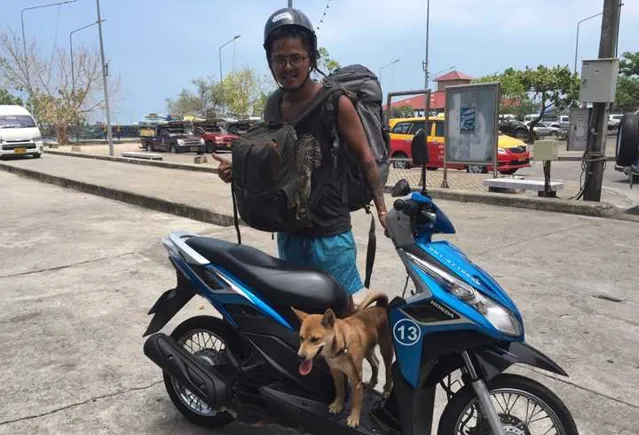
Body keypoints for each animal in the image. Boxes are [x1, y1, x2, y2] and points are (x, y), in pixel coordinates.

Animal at [292, 292, 394, 428]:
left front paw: (354, 418)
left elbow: (357, 400)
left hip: (386, 350)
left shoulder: (356, 376)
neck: (342, 345)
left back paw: (387, 389)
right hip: (368, 350)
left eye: (315, 339)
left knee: (388, 369)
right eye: (301, 338)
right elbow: (339, 390)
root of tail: (381, 306)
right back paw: (372, 382)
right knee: (376, 363)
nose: (300, 357)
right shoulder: (336, 372)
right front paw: (338, 405)